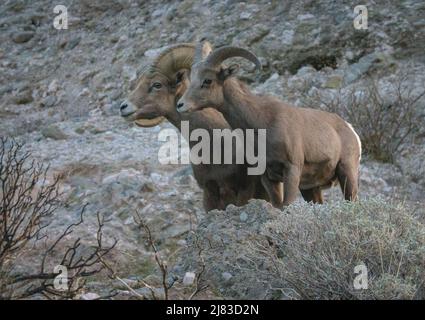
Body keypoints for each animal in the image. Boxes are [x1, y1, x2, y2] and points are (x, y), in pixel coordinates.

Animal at [176, 43, 362, 208]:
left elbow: (287, 204)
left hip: (347, 172)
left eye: (207, 80)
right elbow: (278, 205)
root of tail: (350, 129)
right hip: (311, 189)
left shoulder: (292, 170)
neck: (261, 125)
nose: (180, 105)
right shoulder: (268, 177)